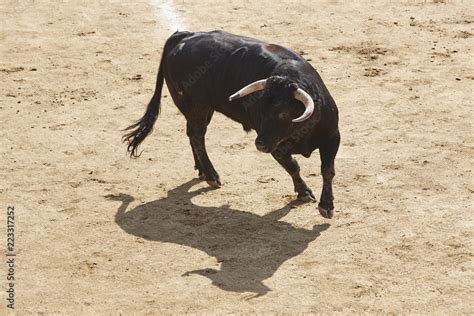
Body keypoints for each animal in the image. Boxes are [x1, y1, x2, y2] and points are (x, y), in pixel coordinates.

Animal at [123, 30, 340, 218]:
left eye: (283, 113)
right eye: (261, 110)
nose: (259, 144)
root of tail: (184, 36)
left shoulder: (332, 137)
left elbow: (327, 170)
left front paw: (327, 205)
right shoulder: (276, 147)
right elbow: (293, 166)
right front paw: (305, 193)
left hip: (203, 110)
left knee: (192, 135)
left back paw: (201, 170)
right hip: (198, 108)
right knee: (197, 135)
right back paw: (211, 175)